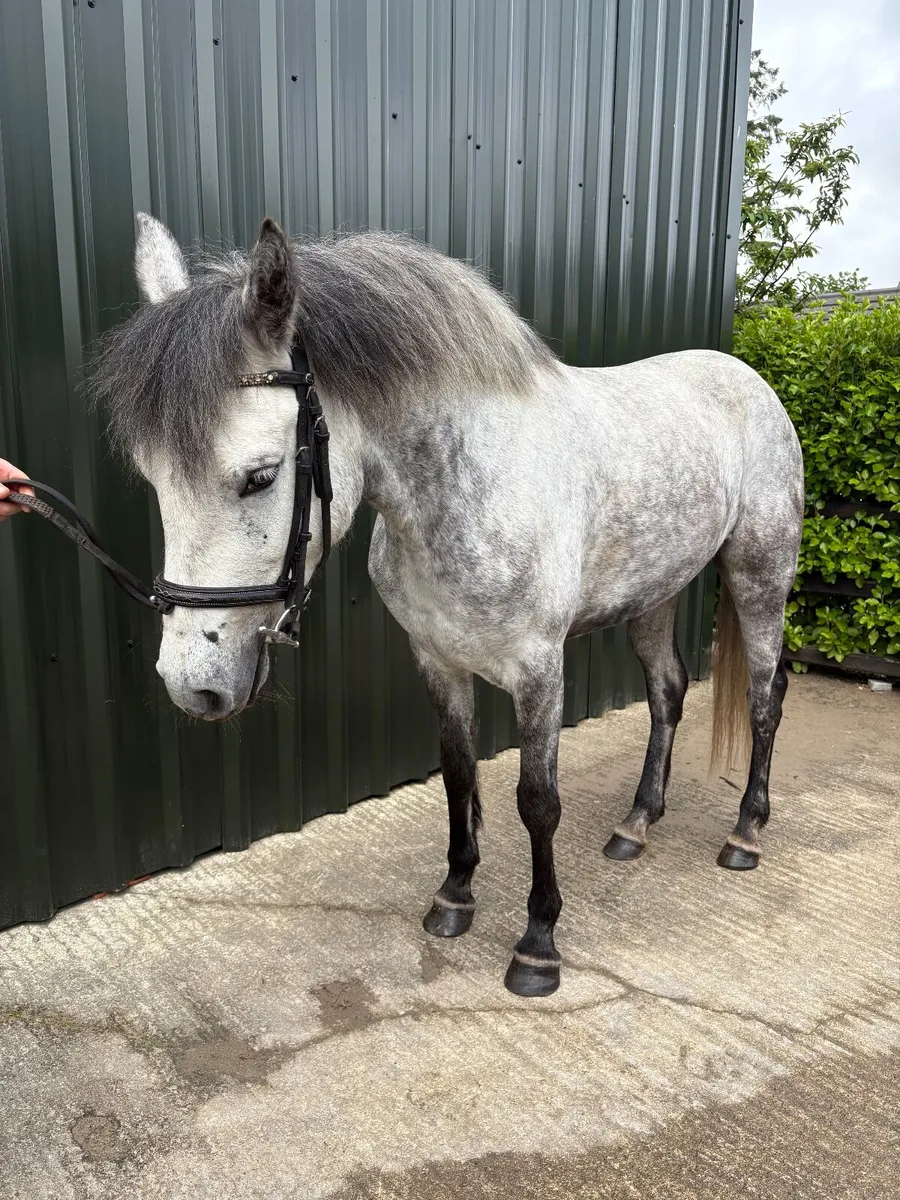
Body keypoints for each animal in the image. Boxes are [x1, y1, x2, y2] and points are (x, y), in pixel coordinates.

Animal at [91, 214, 804, 997]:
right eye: (154, 478)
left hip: (760, 577)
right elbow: (458, 775)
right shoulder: (436, 660)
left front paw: (537, 945)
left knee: (767, 697)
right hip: (656, 594)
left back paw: (745, 833)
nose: (194, 687)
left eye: (259, 476)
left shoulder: (539, 670)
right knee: (668, 692)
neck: (468, 487)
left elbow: (537, 800)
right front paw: (454, 897)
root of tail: (748, 379)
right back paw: (636, 825)